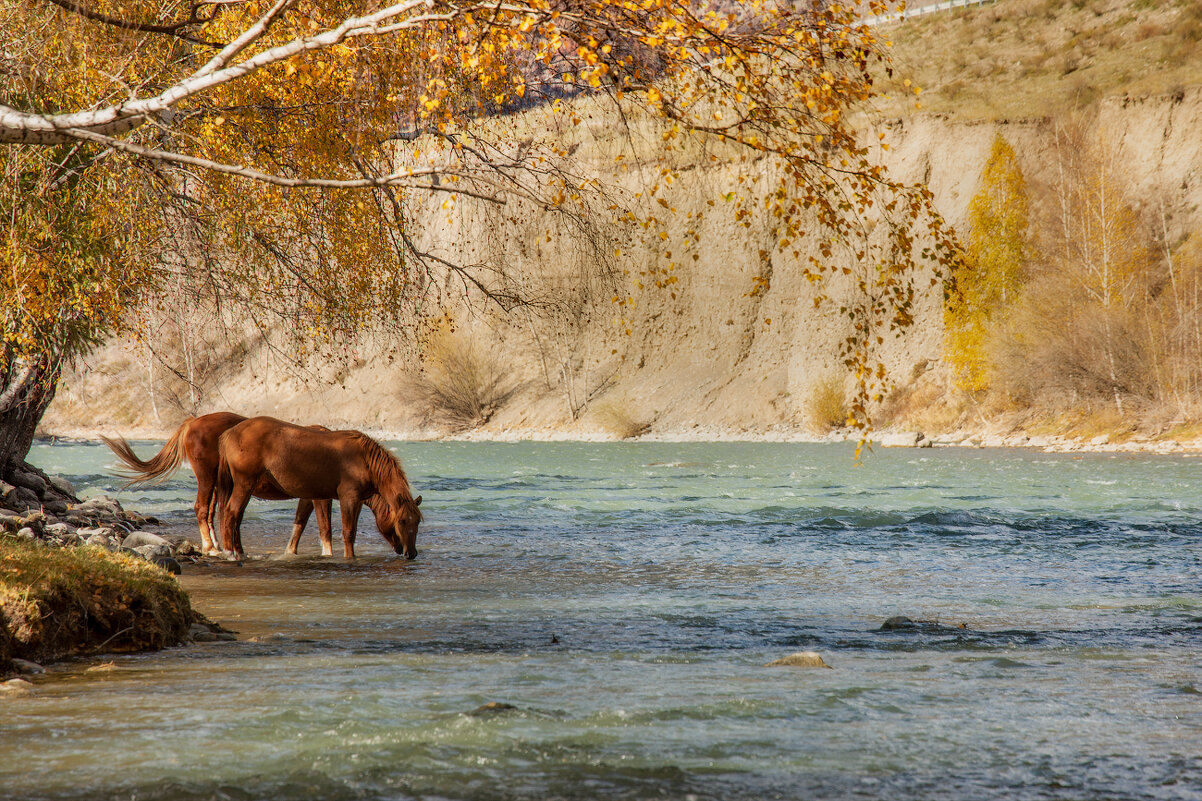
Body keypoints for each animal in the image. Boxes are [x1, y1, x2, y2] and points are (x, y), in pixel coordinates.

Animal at [101, 411, 336, 555]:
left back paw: (219, 546)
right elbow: (325, 529)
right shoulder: (320, 497)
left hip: (218, 484)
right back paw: (211, 548)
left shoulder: (307, 497)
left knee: (215, 513)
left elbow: (299, 525)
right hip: (207, 477)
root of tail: (193, 422)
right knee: (203, 509)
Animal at [216, 413, 423, 558]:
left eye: (418, 521)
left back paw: (239, 551)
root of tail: (230, 433)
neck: (363, 459)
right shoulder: (345, 498)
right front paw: (348, 558)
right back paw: (232, 554)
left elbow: (302, 525)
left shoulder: (340, 500)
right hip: (244, 484)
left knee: (236, 516)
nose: (411, 553)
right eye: (401, 521)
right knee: (231, 513)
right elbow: (345, 532)